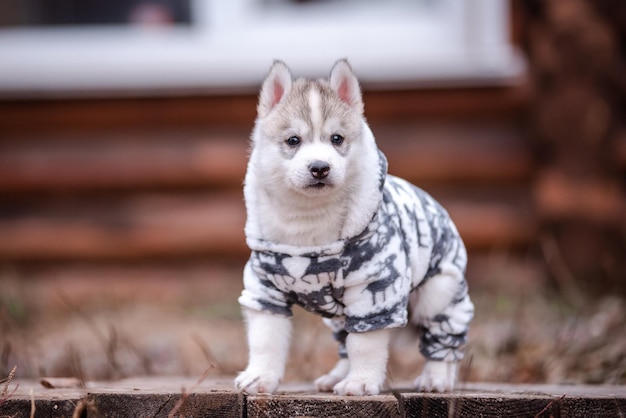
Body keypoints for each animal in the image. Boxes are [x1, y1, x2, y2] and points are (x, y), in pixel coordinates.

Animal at [234, 58, 472, 396]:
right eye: (293, 140)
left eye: (337, 139)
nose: (320, 168)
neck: (309, 225)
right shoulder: (264, 287)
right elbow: (266, 339)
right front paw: (260, 377)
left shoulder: (374, 287)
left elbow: (365, 344)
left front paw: (361, 382)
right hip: (340, 315)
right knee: (345, 339)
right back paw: (336, 376)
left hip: (440, 292)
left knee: (443, 337)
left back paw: (436, 377)